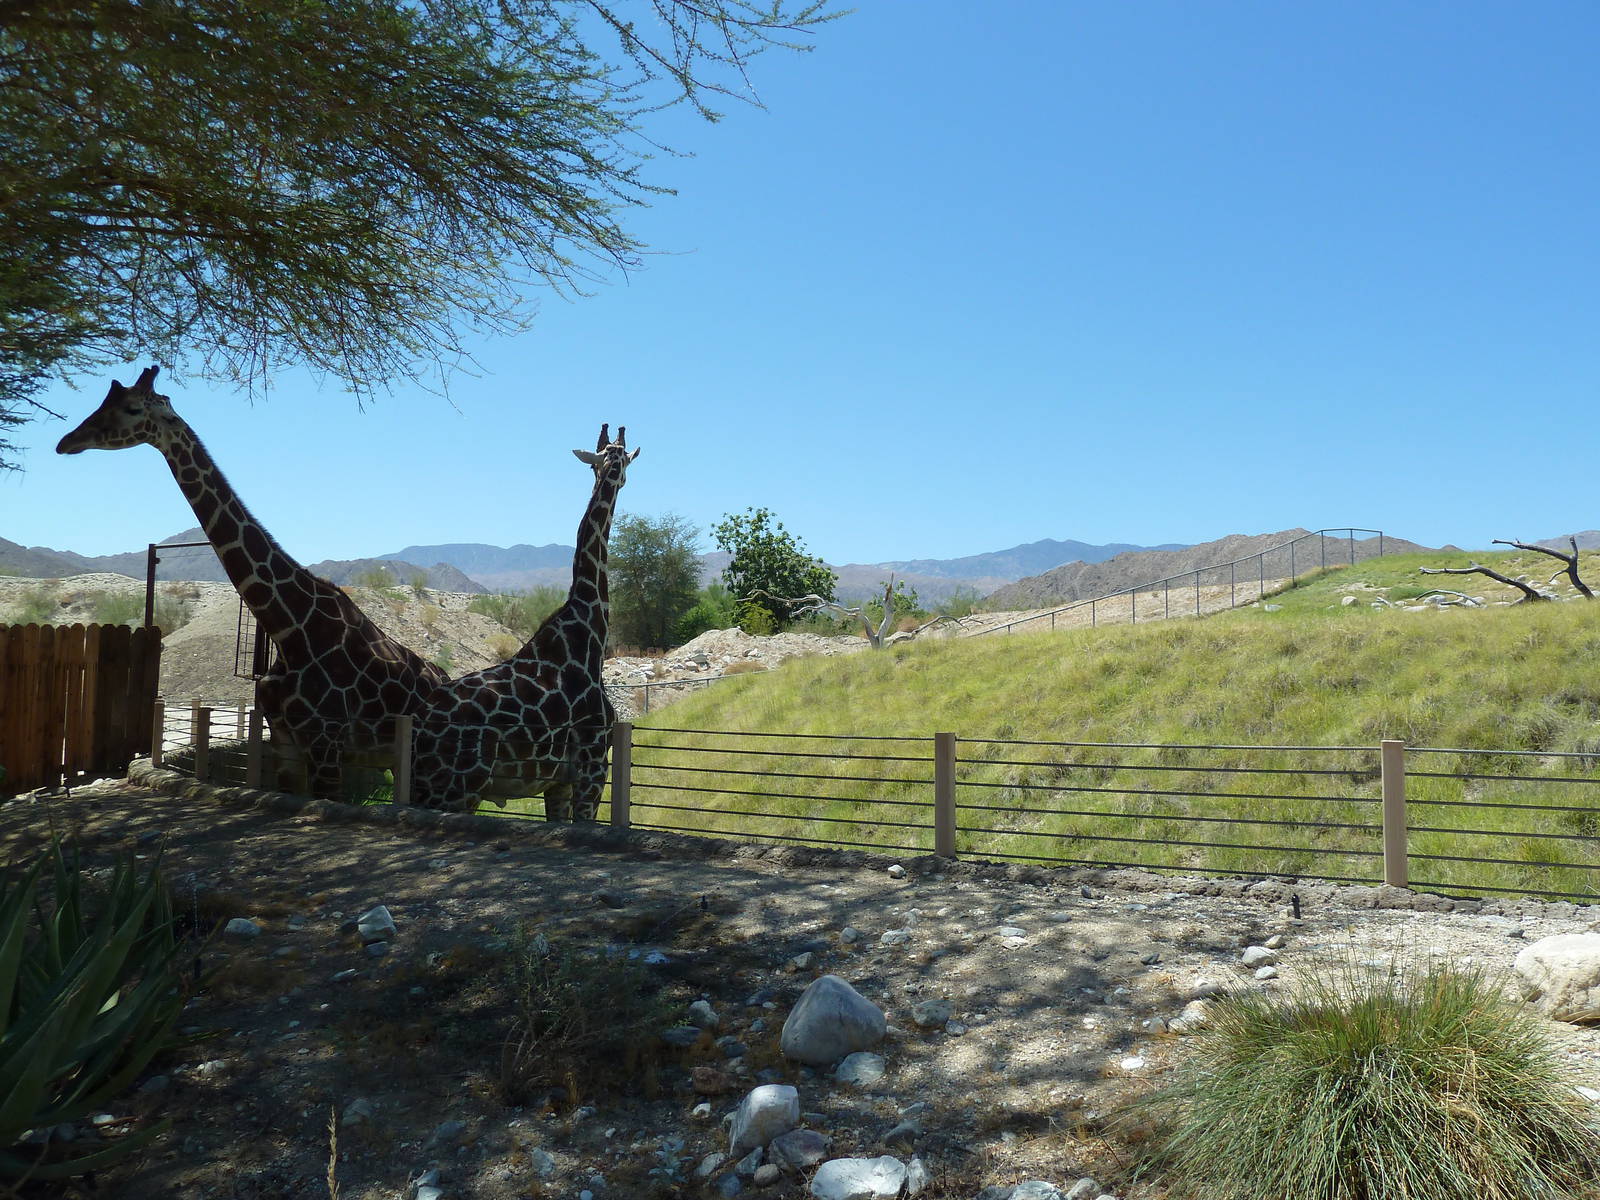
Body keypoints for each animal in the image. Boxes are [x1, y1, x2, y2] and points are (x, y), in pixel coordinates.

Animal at [56, 366, 448, 798]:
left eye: (131, 408)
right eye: (102, 402)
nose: (66, 442)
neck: (290, 628)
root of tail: (442, 677)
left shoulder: (326, 743)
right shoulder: (285, 741)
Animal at [408, 424, 639, 815]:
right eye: (622, 460)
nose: (619, 477)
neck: (590, 630)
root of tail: (418, 731)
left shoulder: (557, 782)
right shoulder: (593, 765)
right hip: (457, 788)